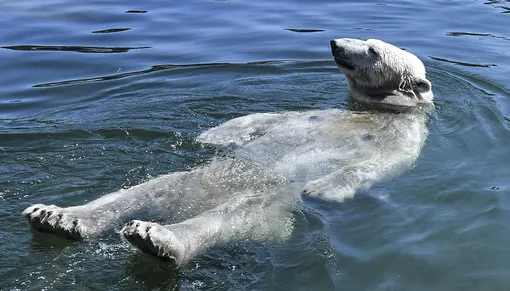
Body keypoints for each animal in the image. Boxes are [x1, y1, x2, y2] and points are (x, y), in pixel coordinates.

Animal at [21, 38, 432, 266]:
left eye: (372, 49)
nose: (334, 43)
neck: (379, 110)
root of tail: (186, 206)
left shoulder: (406, 137)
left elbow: (380, 166)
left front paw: (322, 189)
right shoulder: (319, 112)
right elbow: (265, 118)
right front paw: (212, 134)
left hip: (270, 207)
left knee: (233, 215)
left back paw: (157, 238)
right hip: (192, 180)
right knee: (146, 188)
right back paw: (58, 217)